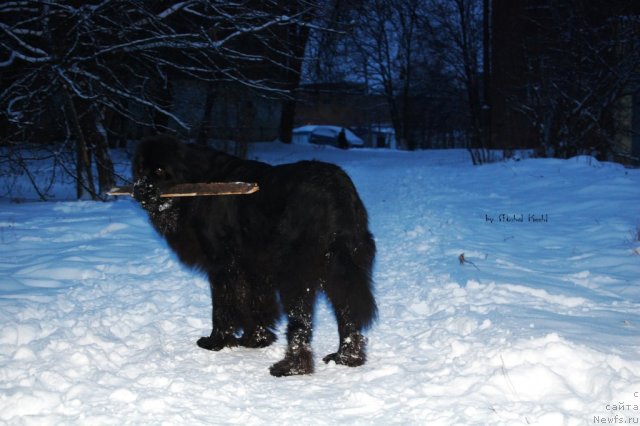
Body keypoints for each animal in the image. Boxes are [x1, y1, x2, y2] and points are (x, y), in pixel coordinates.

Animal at [132, 136, 378, 376]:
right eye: (140, 169)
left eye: (160, 170)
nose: (138, 190)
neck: (198, 180)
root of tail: (333, 190)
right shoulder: (252, 266)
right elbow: (252, 302)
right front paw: (256, 339)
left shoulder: (222, 263)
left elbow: (223, 305)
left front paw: (216, 342)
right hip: (342, 266)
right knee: (347, 312)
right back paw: (346, 358)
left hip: (295, 271)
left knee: (301, 321)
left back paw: (292, 367)